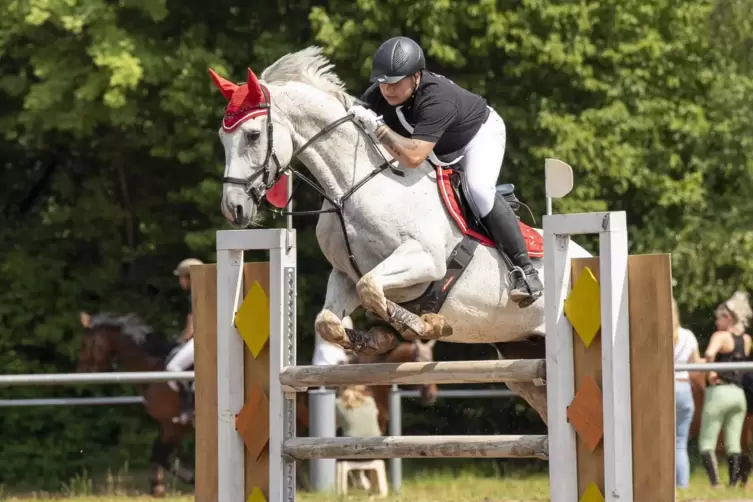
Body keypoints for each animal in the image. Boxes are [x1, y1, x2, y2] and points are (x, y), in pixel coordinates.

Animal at [209, 47, 592, 424]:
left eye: (253, 135)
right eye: (223, 138)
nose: (233, 208)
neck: (352, 189)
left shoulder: (424, 260)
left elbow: (373, 290)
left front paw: (425, 326)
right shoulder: (345, 274)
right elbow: (330, 322)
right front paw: (376, 337)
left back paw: (525, 281)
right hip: (522, 356)